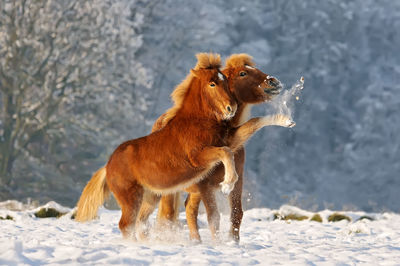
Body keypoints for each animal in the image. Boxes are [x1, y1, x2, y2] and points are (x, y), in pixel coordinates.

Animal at [76, 53, 241, 238]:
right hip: (131, 198)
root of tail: (107, 166)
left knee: (140, 222)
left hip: (150, 197)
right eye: (212, 83)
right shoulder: (198, 157)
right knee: (126, 224)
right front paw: (228, 184)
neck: (196, 123)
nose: (232, 107)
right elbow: (225, 152)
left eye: (225, 81)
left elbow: (230, 149)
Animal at [153, 53, 290, 241]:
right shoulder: (205, 185)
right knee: (167, 215)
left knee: (189, 210)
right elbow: (213, 217)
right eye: (242, 73)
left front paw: (233, 242)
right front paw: (218, 244)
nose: (274, 82)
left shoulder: (237, 182)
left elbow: (236, 214)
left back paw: (196, 242)